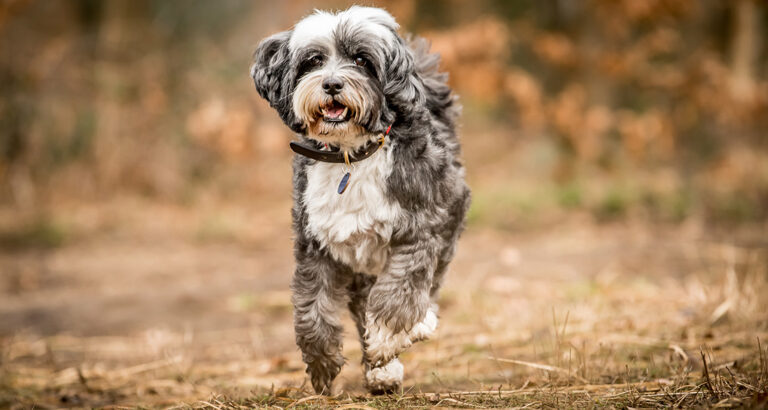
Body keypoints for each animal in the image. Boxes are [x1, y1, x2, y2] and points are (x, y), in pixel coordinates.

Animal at [250, 4, 468, 392]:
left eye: (362, 60)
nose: (332, 84)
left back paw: (411, 333)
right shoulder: (316, 243)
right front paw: (322, 362)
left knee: (425, 287)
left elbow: (399, 290)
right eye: (314, 60)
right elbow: (311, 305)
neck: (350, 157)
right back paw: (382, 371)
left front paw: (386, 338)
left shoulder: (422, 228)